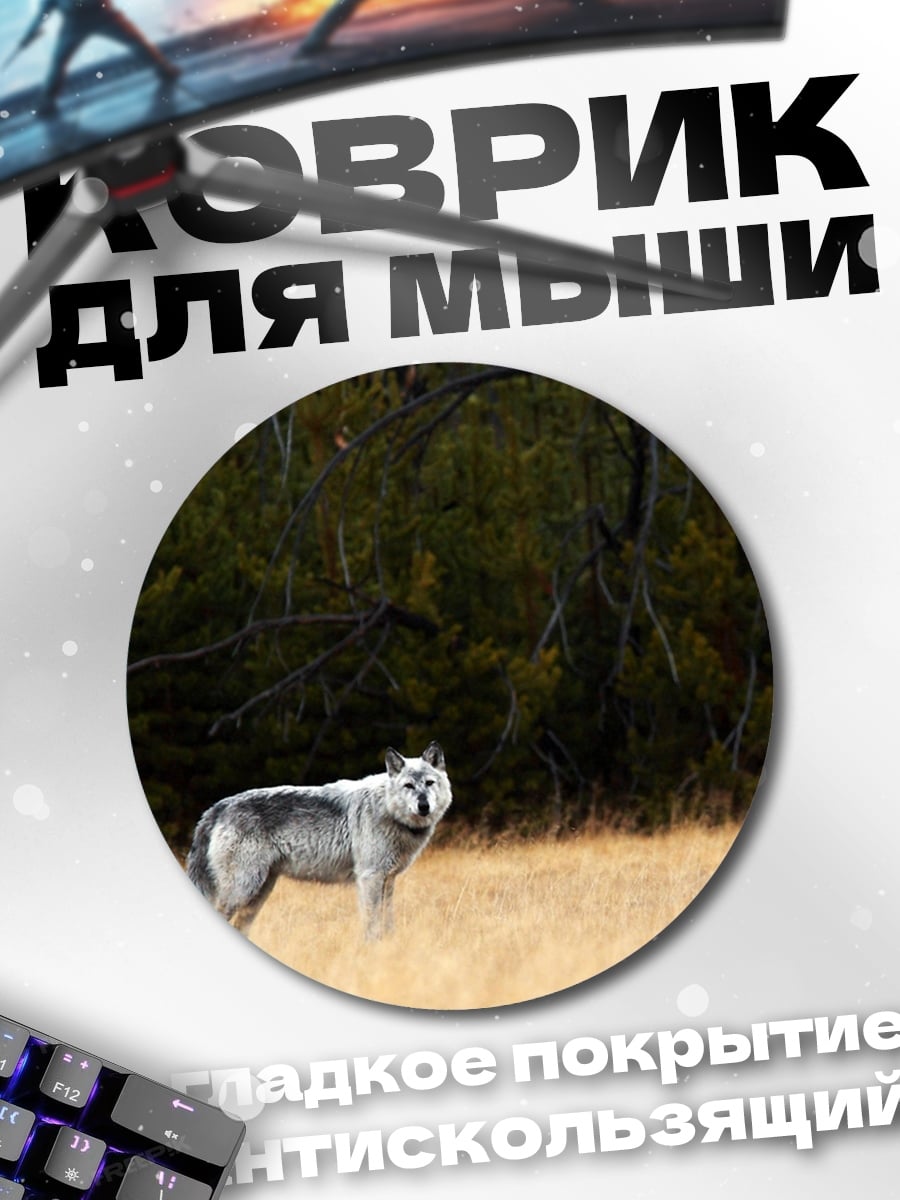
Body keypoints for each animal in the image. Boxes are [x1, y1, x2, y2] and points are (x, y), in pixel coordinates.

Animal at [186, 743, 451, 940]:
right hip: (243, 889)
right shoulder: (370, 877)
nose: (424, 806)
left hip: (259, 892)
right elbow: (372, 922)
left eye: (429, 783)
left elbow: (387, 922)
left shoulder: (388, 879)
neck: (387, 809)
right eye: (409, 786)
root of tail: (219, 806)